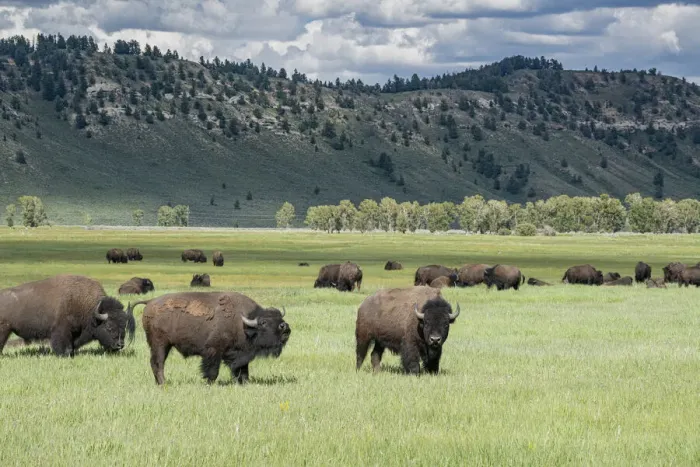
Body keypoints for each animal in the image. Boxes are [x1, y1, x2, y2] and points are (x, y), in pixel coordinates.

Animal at [0, 274, 135, 356]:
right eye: (109, 327)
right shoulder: (61, 331)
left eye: (124, 325)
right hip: (4, 330)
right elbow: (63, 345)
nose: (120, 345)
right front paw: (64, 354)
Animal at [132, 291, 291, 385]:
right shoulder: (213, 351)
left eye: (279, 317)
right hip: (160, 344)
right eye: (264, 322)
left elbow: (243, 370)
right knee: (158, 363)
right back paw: (163, 383)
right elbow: (213, 370)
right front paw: (209, 383)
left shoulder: (242, 354)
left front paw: (244, 383)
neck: (244, 323)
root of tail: (150, 301)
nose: (285, 327)